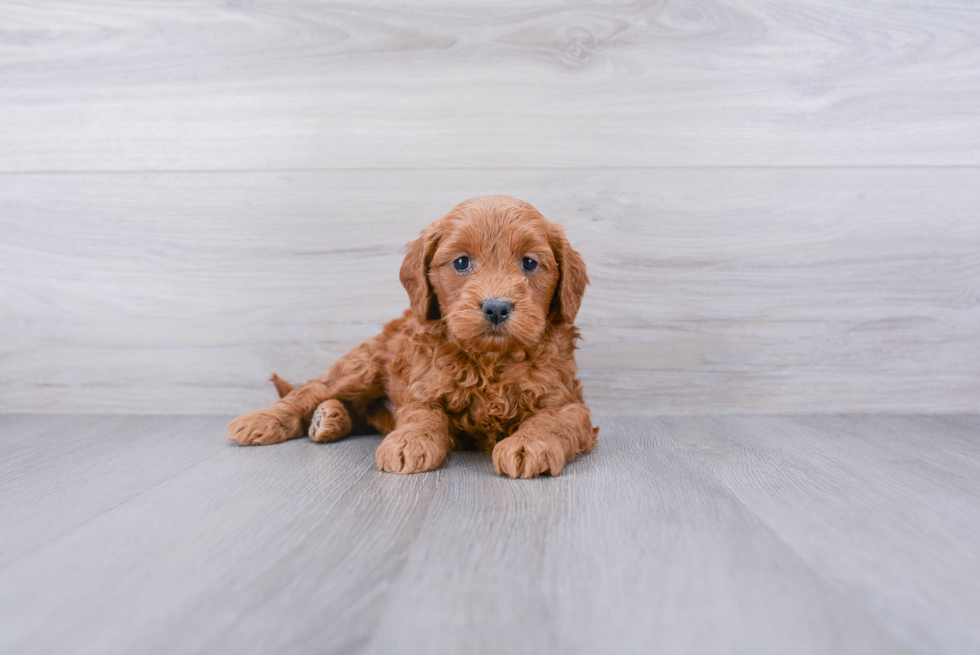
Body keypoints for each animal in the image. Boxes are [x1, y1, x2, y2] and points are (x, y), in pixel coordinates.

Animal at [230, 193, 596, 476]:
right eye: (461, 262)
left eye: (530, 263)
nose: (496, 308)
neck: (489, 360)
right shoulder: (423, 387)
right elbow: (422, 414)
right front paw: (410, 441)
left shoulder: (566, 401)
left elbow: (551, 421)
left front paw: (528, 445)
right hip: (361, 367)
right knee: (309, 391)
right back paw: (262, 420)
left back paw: (330, 419)